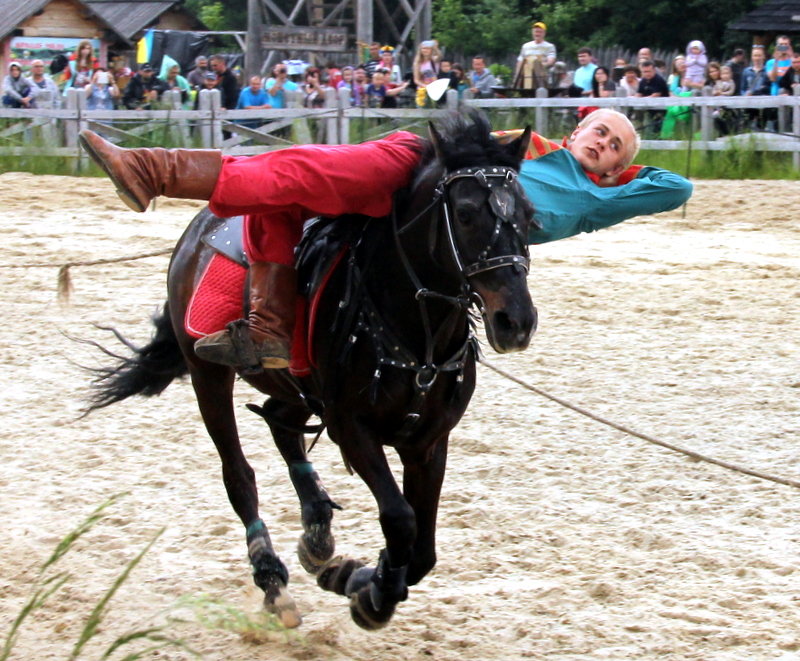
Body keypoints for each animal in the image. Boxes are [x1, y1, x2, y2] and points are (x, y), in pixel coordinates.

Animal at [86, 113, 536, 628]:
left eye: (528, 215)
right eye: (463, 213)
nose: (516, 321)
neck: (415, 334)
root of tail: (199, 230)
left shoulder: (428, 441)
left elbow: (422, 549)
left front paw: (358, 577)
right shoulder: (351, 428)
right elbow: (400, 520)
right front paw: (370, 593)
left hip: (293, 384)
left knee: (283, 423)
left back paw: (317, 530)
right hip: (208, 374)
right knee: (239, 476)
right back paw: (271, 576)